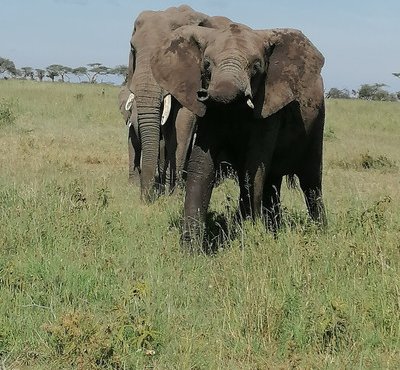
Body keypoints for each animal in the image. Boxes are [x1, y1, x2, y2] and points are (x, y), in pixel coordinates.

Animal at [124, 5, 231, 199]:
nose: (144, 200)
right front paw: (166, 190)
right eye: (133, 49)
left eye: (166, 53)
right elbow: (168, 131)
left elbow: (183, 123)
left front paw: (173, 196)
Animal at [152, 22, 326, 249]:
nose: (203, 94)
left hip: (317, 121)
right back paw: (274, 231)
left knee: (311, 182)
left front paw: (249, 235)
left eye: (256, 67)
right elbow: (202, 165)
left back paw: (321, 233)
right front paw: (191, 250)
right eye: (206, 65)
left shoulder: (268, 105)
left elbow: (254, 167)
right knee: (272, 183)